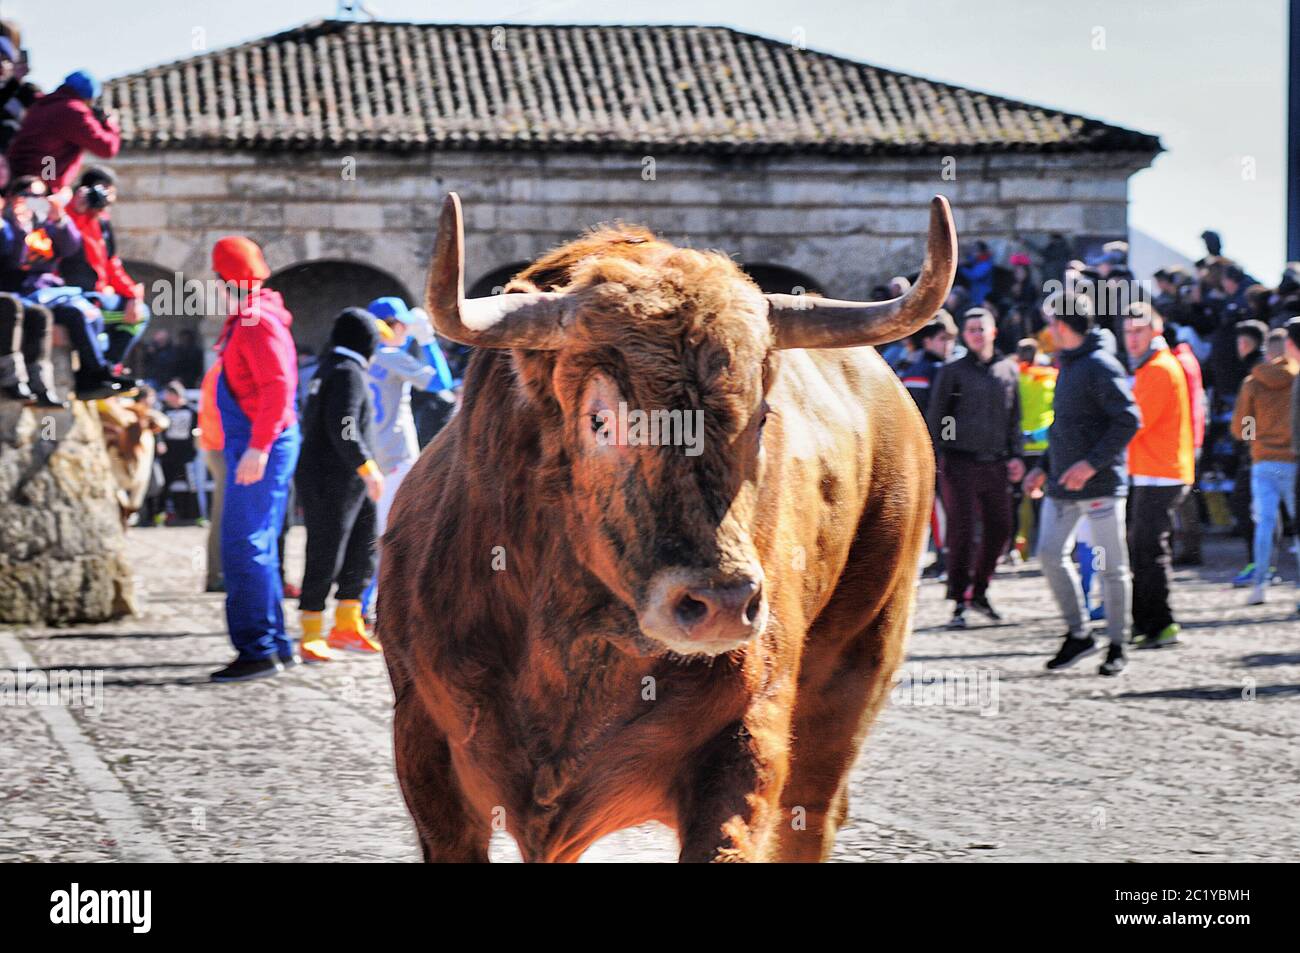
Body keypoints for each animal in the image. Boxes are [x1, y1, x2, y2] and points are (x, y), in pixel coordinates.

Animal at [377, 193, 956, 863]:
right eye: (600, 419)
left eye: (761, 417)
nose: (722, 603)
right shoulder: (425, 748)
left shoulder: (745, 745)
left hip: (860, 661)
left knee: (812, 810)